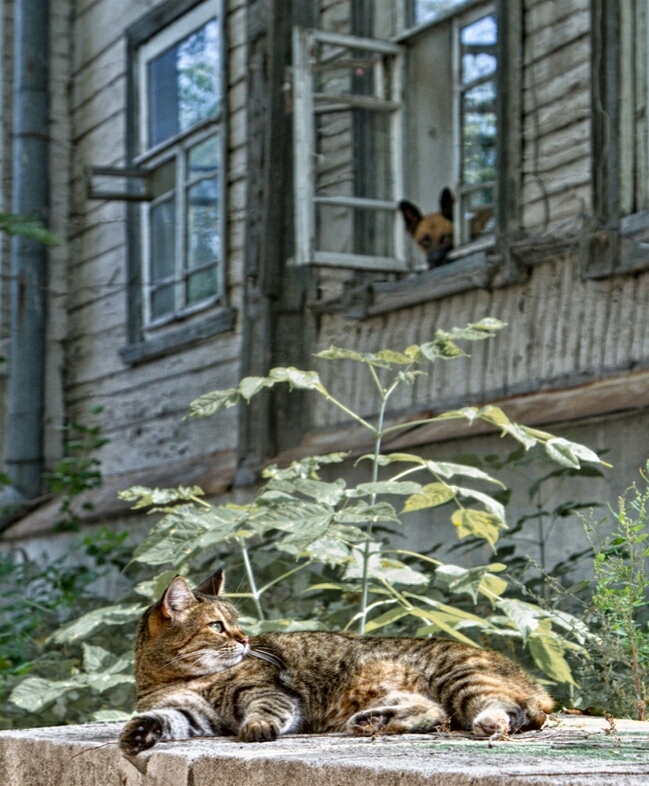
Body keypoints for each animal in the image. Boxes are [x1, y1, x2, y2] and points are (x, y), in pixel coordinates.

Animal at [117, 568, 552, 752]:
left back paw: (489, 722)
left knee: (506, 710)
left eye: (237, 623)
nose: (244, 639)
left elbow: (266, 710)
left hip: (461, 678)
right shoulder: (192, 713)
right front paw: (137, 733)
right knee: (433, 713)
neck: (180, 678)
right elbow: (163, 719)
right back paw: (373, 721)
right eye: (217, 626)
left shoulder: (268, 692)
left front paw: (257, 727)